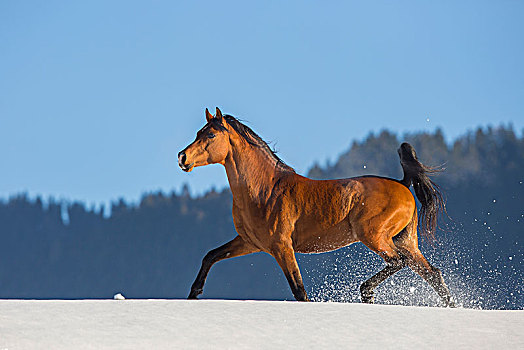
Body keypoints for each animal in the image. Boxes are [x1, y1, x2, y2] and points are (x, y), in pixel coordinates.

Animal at [179, 106, 454, 306]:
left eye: (211, 135)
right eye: (198, 133)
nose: (182, 157)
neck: (264, 190)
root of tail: (403, 184)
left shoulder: (282, 246)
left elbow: (299, 291)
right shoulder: (250, 242)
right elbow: (210, 255)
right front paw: (193, 294)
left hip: (374, 236)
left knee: (398, 262)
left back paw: (367, 292)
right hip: (405, 241)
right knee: (433, 274)